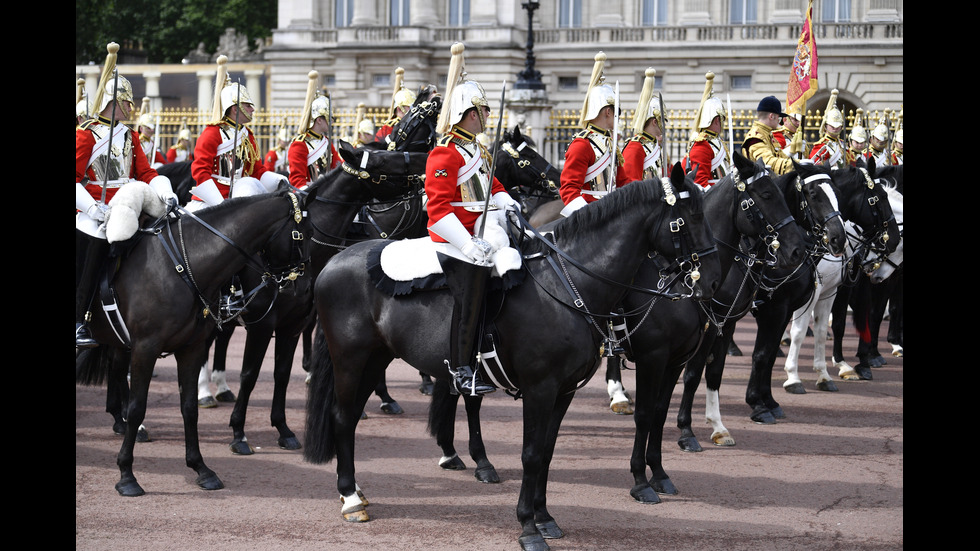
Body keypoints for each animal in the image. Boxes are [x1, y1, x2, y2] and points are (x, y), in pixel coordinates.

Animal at [76, 184, 314, 496]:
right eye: (304, 234)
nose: (305, 287)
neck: (181, 265)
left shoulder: (190, 349)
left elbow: (189, 408)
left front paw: (201, 468)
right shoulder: (145, 349)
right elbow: (139, 407)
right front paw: (127, 475)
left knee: (116, 371)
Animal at [306, 168, 720, 551]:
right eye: (691, 216)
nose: (711, 283)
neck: (567, 288)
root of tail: (335, 260)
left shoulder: (565, 390)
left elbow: (548, 451)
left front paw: (545, 517)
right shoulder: (542, 388)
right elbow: (532, 454)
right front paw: (528, 527)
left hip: (376, 358)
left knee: (353, 417)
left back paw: (360, 489)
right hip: (350, 359)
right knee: (342, 418)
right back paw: (351, 498)